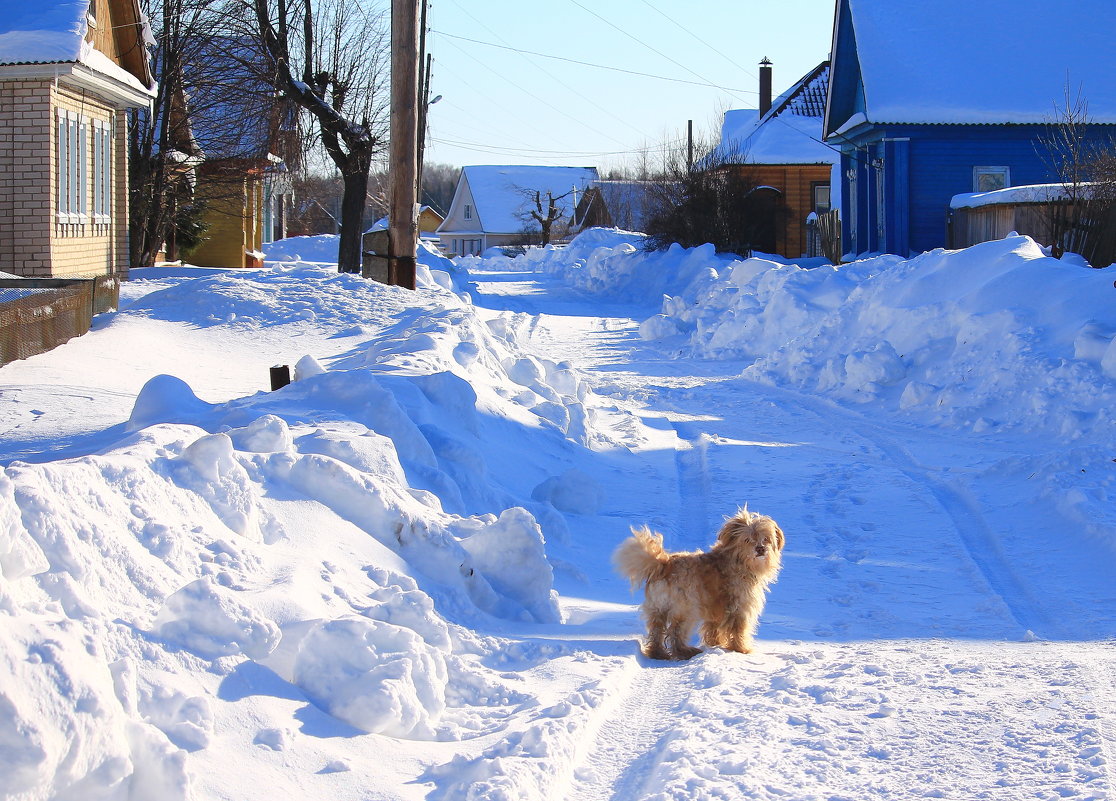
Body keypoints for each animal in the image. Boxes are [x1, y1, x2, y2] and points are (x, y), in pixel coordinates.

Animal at [611, 510, 785, 660]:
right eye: (748, 539)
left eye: (766, 539)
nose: (760, 549)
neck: (736, 560)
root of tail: (664, 564)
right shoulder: (739, 607)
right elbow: (738, 629)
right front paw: (741, 649)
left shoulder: (716, 609)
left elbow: (714, 628)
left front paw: (716, 644)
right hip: (686, 609)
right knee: (675, 632)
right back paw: (686, 652)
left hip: (657, 609)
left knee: (656, 631)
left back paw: (658, 653)